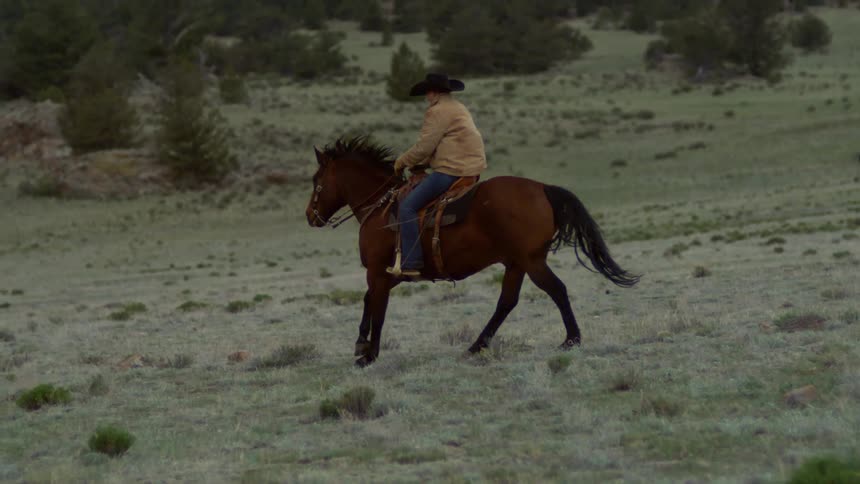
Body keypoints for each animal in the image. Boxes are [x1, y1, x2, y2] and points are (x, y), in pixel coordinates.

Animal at [306, 136, 640, 367]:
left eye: (316, 180)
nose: (310, 215)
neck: (382, 207)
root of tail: (543, 188)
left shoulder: (378, 271)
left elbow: (378, 308)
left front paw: (369, 354)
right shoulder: (392, 274)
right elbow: (368, 301)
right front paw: (361, 345)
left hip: (531, 261)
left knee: (556, 290)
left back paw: (571, 339)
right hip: (516, 263)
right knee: (507, 302)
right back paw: (476, 346)